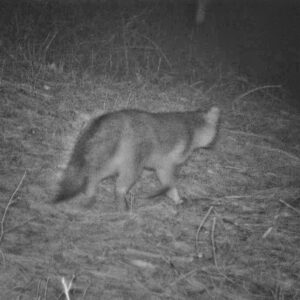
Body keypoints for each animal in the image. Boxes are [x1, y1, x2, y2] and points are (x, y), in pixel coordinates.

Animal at [53, 106, 220, 210]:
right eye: (217, 132)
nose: (215, 144)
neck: (192, 123)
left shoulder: (161, 163)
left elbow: (166, 180)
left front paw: (175, 197)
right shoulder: (169, 159)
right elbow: (169, 180)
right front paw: (169, 192)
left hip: (113, 156)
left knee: (96, 174)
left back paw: (91, 192)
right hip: (134, 159)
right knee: (122, 182)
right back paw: (121, 202)